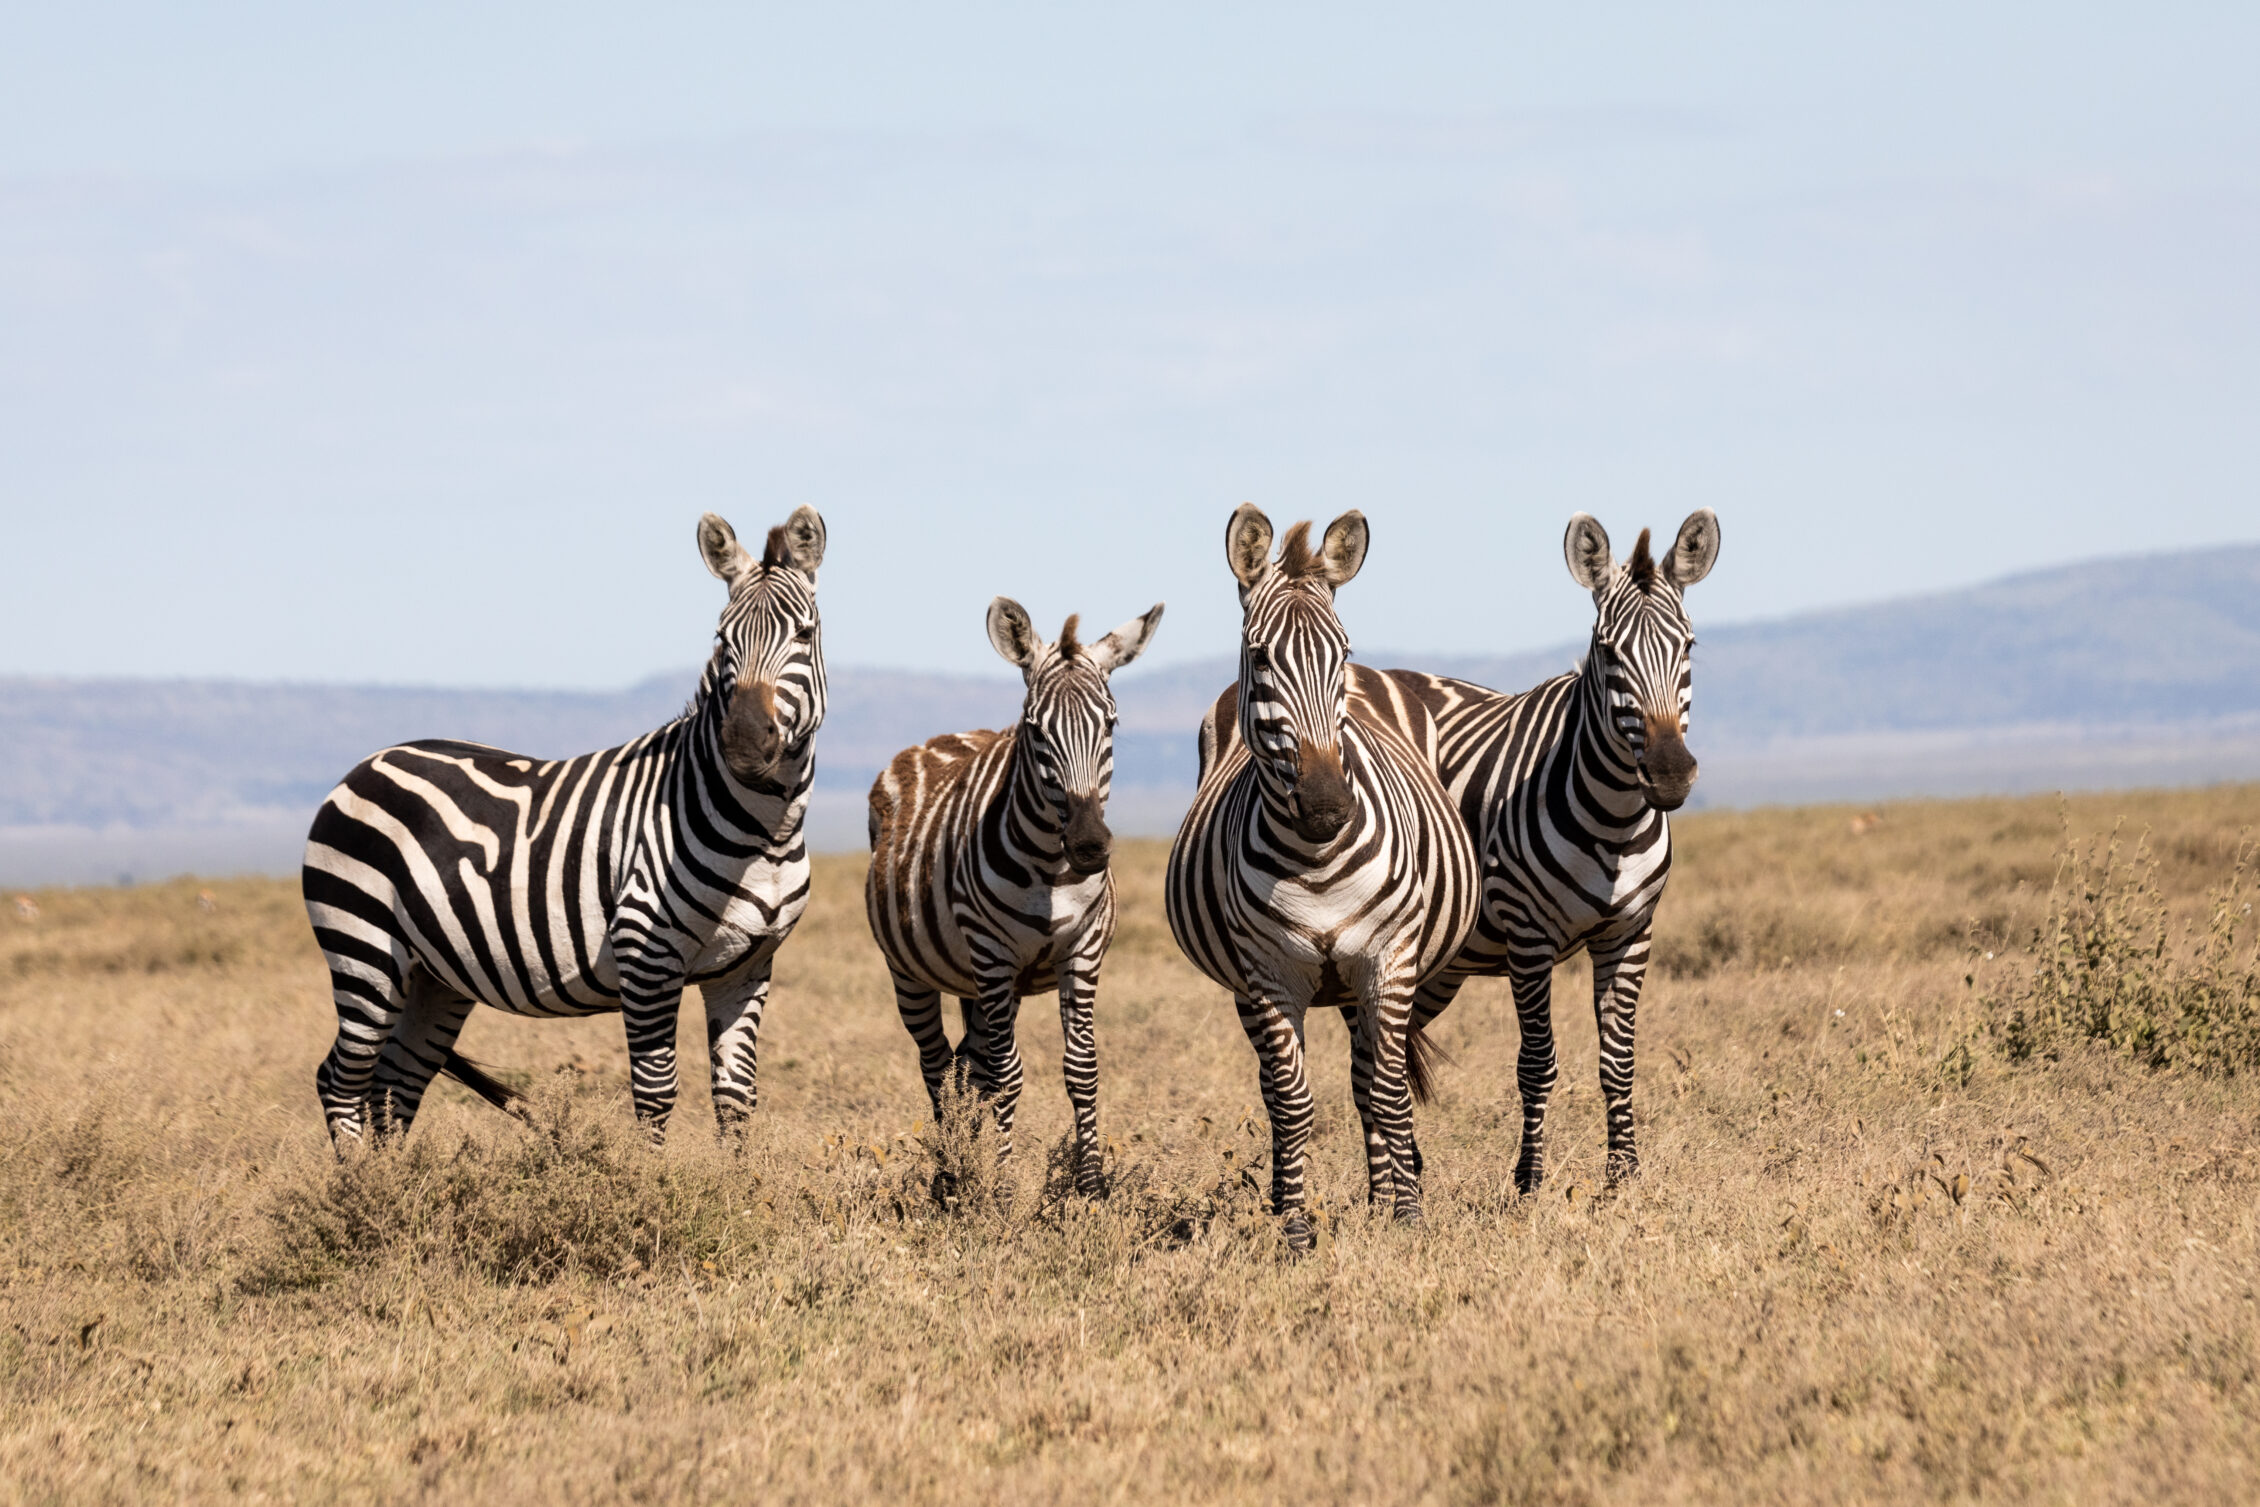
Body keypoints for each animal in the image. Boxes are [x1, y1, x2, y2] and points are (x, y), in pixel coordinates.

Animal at [302, 506, 829, 1146]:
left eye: (804, 634)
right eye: (721, 640)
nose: (747, 744)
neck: (765, 833)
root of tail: (367, 762)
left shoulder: (748, 966)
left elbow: (736, 1101)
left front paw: (739, 1176)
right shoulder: (645, 952)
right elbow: (656, 1096)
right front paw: (648, 1178)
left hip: (434, 976)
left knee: (394, 1083)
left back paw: (393, 1178)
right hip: (363, 950)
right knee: (340, 1078)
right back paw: (358, 1174)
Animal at [865, 596, 1164, 1196]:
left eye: (1111, 723)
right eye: (1034, 729)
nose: (1090, 845)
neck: (1051, 870)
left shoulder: (1082, 953)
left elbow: (1080, 1068)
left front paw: (1090, 1186)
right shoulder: (993, 954)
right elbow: (1007, 1073)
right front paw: (1002, 1186)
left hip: (979, 984)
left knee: (966, 1065)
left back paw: (963, 1160)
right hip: (914, 970)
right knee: (938, 1064)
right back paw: (950, 1172)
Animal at [1166, 505, 1479, 1249]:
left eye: (1342, 652)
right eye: (1260, 656)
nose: (1327, 804)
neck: (1315, 861)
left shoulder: (1389, 959)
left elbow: (1388, 1093)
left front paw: (1406, 1218)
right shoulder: (1269, 974)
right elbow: (1292, 1102)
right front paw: (1296, 1228)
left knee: (1370, 1081)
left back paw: (1385, 1195)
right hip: (1255, 988)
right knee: (1286, 1085)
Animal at [1381, 509, 1720, 1191]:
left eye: (1690, 646)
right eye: (1607, 651)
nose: (1671, 774)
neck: (1615, 823)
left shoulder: (1630, 932)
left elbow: (1618, 1059)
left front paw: (1623, 1176)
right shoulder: (1528, 937)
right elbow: (1537, 1062)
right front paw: (1528, 1179)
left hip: (1441, 963)